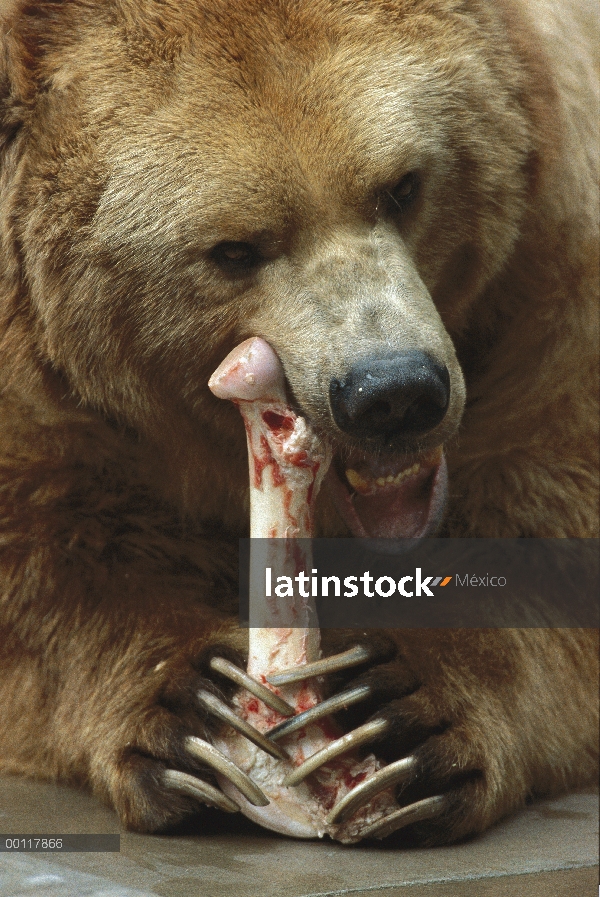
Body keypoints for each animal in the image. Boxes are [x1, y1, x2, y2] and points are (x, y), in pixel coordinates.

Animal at [0, 0, 596, 848]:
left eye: (401, 187)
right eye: (233, 248)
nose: (393, 391)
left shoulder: (548, 301)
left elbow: (554, 507)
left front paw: (397, 711)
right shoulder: (45, 403)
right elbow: (44, 559)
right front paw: (196, 706)